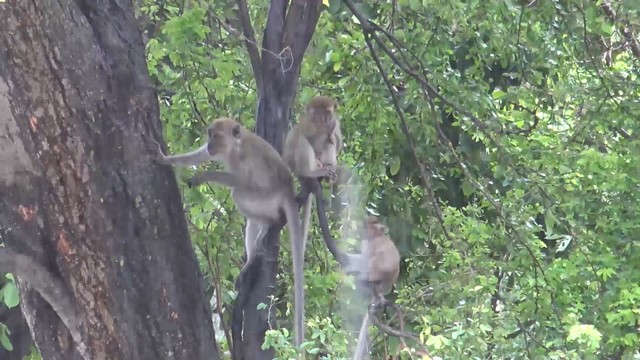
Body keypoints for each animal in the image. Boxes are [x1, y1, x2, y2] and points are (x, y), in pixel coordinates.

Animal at [151, 117, 308, 348]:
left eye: (216, 136)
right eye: (210, 134)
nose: (210, 144)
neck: (234, 146)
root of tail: (288, 189)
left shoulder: (241, 161)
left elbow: (239, 180)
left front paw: (203, 175)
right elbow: (199, 156)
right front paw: (165, 158)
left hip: (266, 196)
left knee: (240, 193)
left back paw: (267, 223)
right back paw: (252, 258)